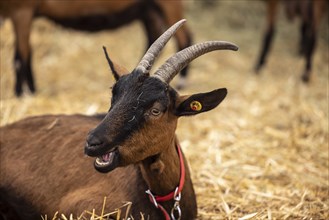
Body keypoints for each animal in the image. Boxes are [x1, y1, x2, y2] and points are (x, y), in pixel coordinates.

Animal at [0, 0, 192, 96]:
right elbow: (25, 53)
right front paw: (31, 90)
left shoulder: (22, 10)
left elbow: (20, 56)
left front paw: (20, 93)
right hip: (150, 10)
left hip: (168, 5)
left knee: (185, 38)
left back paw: (182, 82)